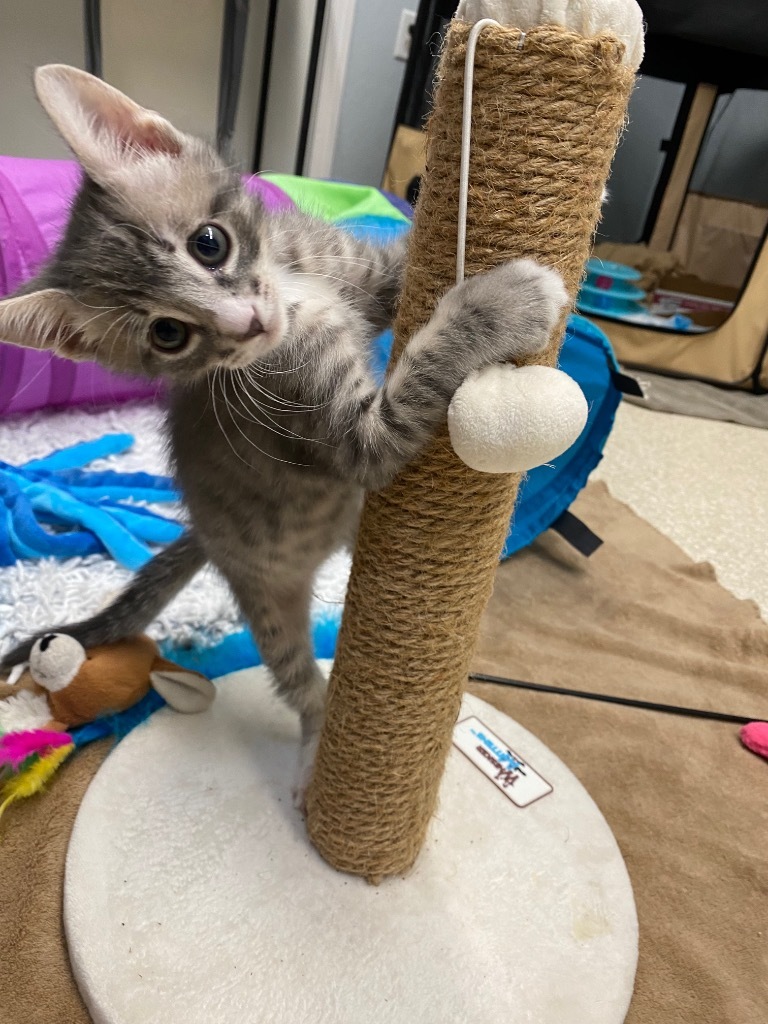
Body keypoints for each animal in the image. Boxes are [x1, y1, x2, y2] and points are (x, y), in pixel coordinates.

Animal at [0, 68, 565, 794]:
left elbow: (402, 262)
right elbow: (417, 383)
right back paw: (318, 753)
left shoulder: (349, 267)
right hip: (266, 599)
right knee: (297, 678)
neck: (297, 292)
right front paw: (505, 303)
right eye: (169, 334)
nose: (246, 324)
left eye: (210, 242)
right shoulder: (356, 441)